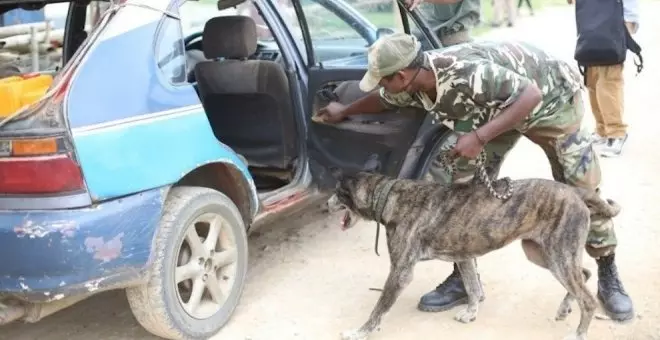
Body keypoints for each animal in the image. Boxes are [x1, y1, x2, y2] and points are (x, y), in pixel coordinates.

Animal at [330, 170, 624, 340]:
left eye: (336, 192)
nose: (327, 202)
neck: (389, 195)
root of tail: (574, 191)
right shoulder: (464, 258)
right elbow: (472, 287)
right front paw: (471, 313)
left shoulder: (400, 272)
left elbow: (377, 310)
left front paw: (358, 332)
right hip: (543, 254)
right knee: (584, 273)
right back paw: (564, 307)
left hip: (558, 256)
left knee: (588, 300)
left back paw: (578, 333)